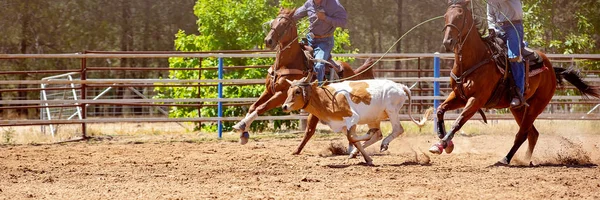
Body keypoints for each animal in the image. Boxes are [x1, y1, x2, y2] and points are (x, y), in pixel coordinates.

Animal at [234, 7, 376, 152]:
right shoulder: (268, 91)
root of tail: (352, 71)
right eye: (273, 22)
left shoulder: (282, 94)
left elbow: (261, 107)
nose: (268, 41)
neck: (287, 63)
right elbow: (253, 107)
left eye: (285, 24)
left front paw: (241, 126)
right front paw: (243, 133)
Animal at [282, 77, 432, 166]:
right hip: (374, 118)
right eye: (288, 91)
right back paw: (359, 149)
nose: (284, 106)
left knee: (397, 129)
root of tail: (400, 86)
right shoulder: (343, 125)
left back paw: (384, 143)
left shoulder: (352, 118)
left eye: (297, 91)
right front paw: (368, 159)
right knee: (378, 135)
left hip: (392, 111)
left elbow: (352, 137)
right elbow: (354, 139)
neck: (325, 98)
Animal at [428, 0, 600, 166]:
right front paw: (443, 140)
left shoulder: (477, 99)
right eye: (446, 16)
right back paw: (526, 160)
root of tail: (551, 68)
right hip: (517, 108)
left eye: (460, 16)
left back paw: (506, 159)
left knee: (523, 134)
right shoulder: (459, 96)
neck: (474, 59)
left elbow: (459, 121)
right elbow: (440, 110)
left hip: (536, 106)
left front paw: (442, 144)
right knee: (532, 134)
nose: (448, 42)